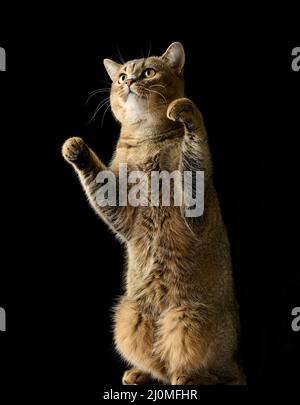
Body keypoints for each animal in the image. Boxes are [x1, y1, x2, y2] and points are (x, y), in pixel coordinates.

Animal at [61, 42, 246, 384]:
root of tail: (235, 360)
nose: (130, 81)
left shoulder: (193, 200)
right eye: (121, 76)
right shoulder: (120, 210)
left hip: (189, 319)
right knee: (159, 363)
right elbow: (96, 181)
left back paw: (187, 377)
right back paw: (139, 373)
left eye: (148, 72)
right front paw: (75, 149)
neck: (147, 140)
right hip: (130, 316)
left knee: (212, 373)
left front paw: (185, 111)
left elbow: (195, 146)